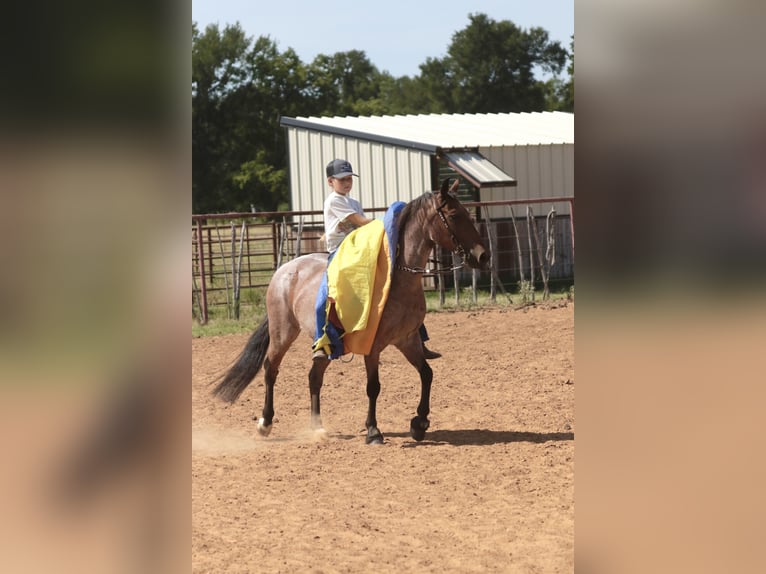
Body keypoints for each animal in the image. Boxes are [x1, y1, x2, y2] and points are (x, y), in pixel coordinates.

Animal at [212, 178, 489, 444]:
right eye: (454, 215)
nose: (483, 256)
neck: (396, 280)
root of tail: (284, 270)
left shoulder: (407, 340)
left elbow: (427, 374)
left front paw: (419, 424)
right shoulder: (372, 346)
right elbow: (373, 386)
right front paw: (374, 431)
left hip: (324, 344)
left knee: (314, 376)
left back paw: (317, 428)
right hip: (283, 332)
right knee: (271, 369)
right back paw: (265, 423)